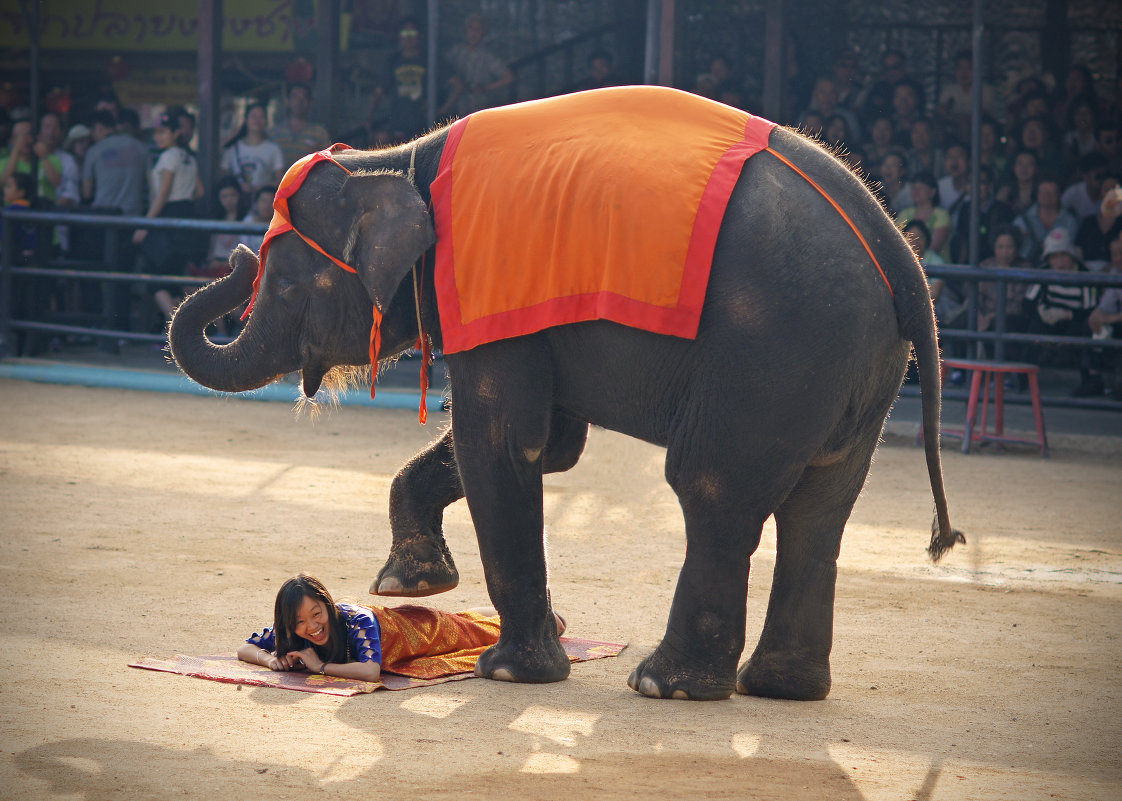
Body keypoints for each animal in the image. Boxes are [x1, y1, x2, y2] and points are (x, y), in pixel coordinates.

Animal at [168, 85, 964, 700]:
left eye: (284, 283)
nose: (235, 256)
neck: (397, 158)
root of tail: (898, 252)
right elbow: (550, 448)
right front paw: (411, 585)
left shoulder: (489, 279)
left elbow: (500, 444)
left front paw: (508, 672)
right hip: (854, 372)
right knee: (820, 509)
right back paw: (780, 688)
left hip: (777, 351)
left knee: (712, 487)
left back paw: (666, 685)